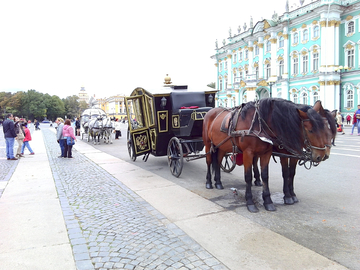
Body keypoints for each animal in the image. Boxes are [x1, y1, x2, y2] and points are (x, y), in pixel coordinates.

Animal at [202, 98, 330, 212]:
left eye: (325, 128)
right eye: (311, 130)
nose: (322, 155)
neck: (258, 124)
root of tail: (211, 111)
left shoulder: (267, 153)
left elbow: (267, 176)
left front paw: (268, 201)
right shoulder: (248, 153)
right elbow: (248, 176)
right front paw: (250, 202)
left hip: (221, 146)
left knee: (218, 162)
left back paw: (218, 182)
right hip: (208, 144)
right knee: (209, 161)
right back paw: (209, 182)